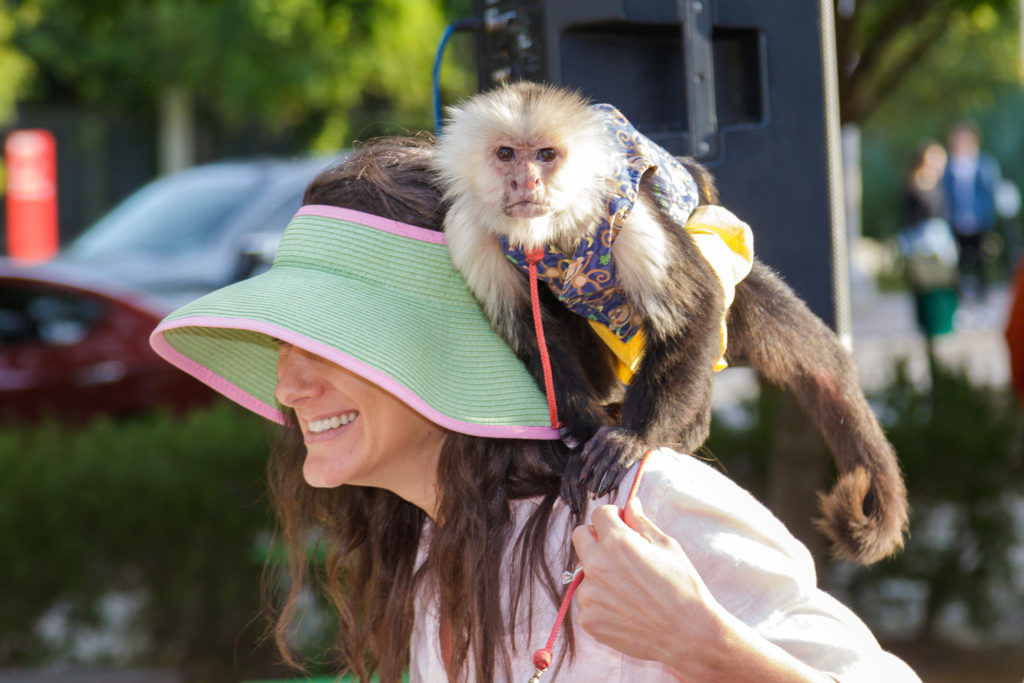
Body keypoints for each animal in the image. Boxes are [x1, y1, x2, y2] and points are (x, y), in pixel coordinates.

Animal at [428, 80, 909, 565]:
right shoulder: (468, 232)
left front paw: (634, 438)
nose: (526, 180)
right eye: (506, 154)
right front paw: (585, 435)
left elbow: (697, 308)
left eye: (546, 155)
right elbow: (531, 337)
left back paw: (687, 427)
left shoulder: (620, 210)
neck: (551, 235)